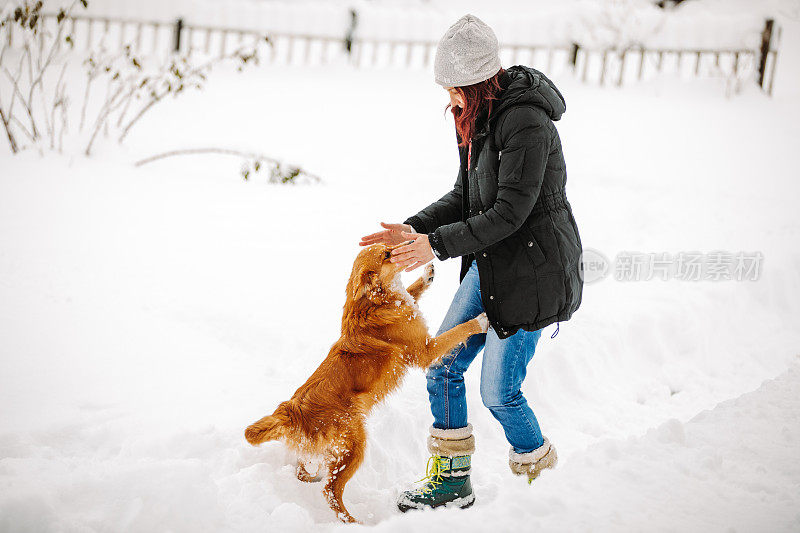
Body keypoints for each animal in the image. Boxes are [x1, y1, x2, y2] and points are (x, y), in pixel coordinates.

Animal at [244, 243, 488, 520]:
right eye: (386, 255)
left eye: (388, 246)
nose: (409, 243)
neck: (376, 301)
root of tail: (293, 410)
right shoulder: (426, 349)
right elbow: (459, 330)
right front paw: (481, 320)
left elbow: (413, 291)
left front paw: (426, 275)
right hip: (355, 445)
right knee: (331, 490)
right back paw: (352, 521)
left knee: (305, 471)